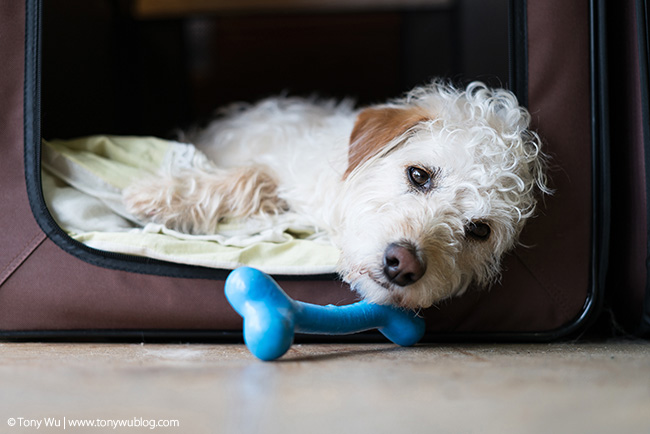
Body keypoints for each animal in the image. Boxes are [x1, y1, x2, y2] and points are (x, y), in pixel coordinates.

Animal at [121, 80, 548, 308]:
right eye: (418, 175)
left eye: (479, 230)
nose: (403, 265)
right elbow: (250, 176)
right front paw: (155, 195)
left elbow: (252, 181)